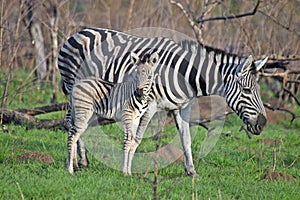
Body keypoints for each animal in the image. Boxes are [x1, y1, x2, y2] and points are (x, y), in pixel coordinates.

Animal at [58, 27, 268, 177]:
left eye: (258, 90)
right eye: (247, 91)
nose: (263, 123)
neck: (186, 77)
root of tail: (76, 34)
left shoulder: (183, 107)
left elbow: (186, 138)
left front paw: (191, 171)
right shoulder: (150, 105)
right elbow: (137, 138)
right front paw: (128, 171)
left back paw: (81, 161)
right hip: (73, 89)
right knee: (71, 123)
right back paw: (75, 163)